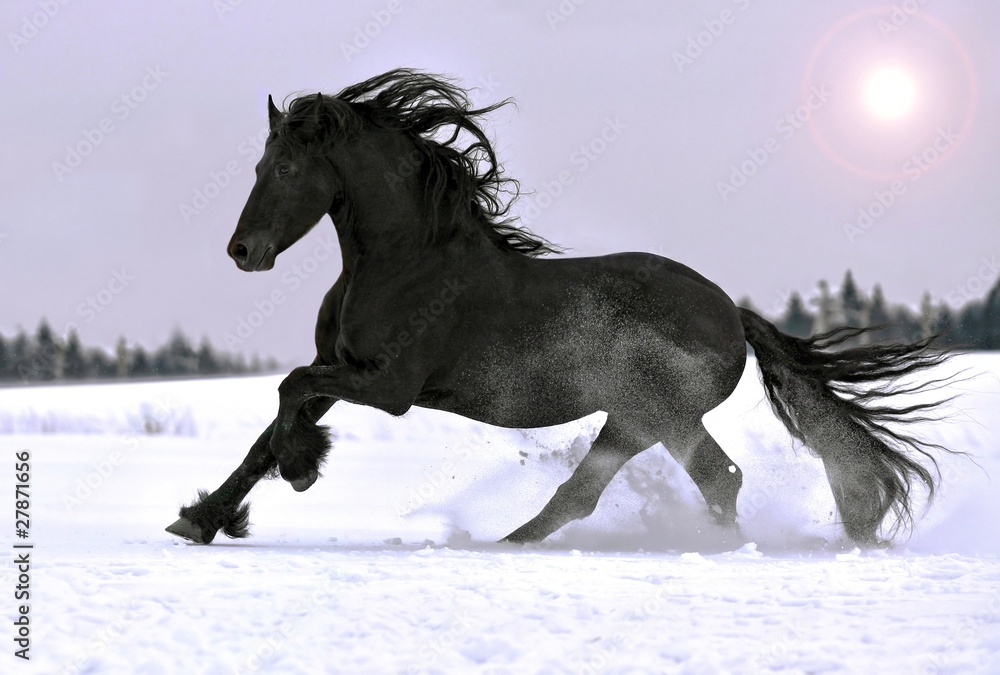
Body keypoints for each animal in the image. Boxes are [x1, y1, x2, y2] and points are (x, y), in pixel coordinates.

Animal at [168, 68, 956, 548]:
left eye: (286, 166)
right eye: (259, 164)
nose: (243, 250)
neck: (401, 263)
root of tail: (734, 315)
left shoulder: (387, 385)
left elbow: (287, 390)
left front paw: (302, 468)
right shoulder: (343, 366)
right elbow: (267, 428)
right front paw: (201, 519)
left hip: (654, 411)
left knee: (711, 478)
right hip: (635, 419)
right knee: (599, 491)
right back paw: (510, 543)